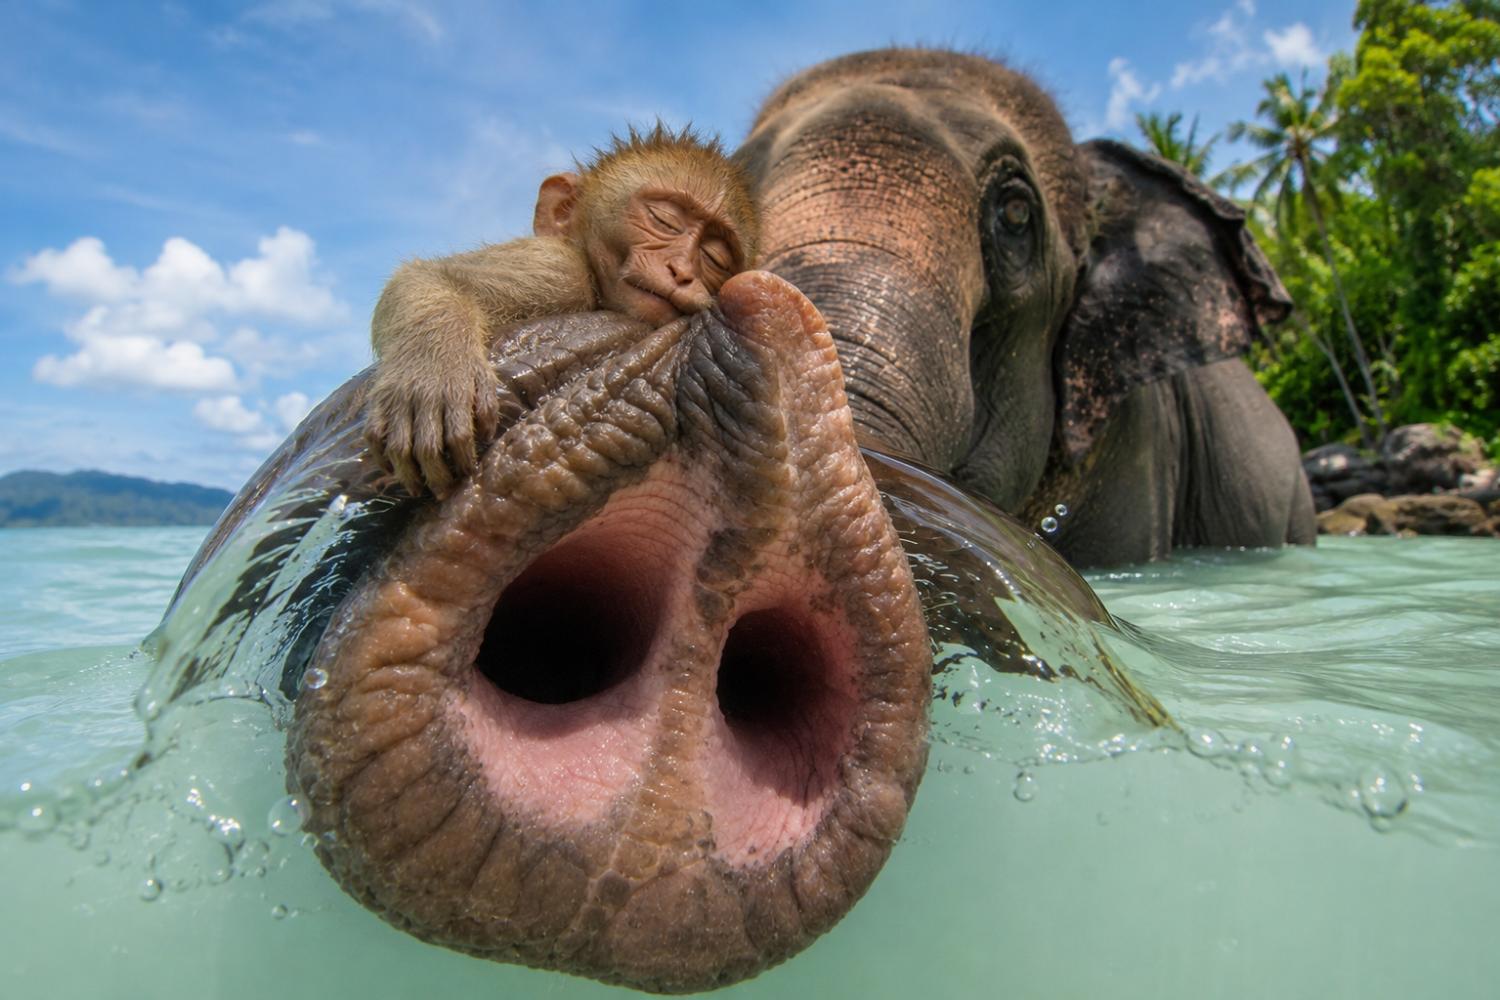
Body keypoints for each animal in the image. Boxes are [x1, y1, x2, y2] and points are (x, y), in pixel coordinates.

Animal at [364, 124, 760, 498]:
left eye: (714, 256)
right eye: (663, 219)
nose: (681, 271)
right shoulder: (561, 271)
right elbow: (432, 277)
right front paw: (432, 375)